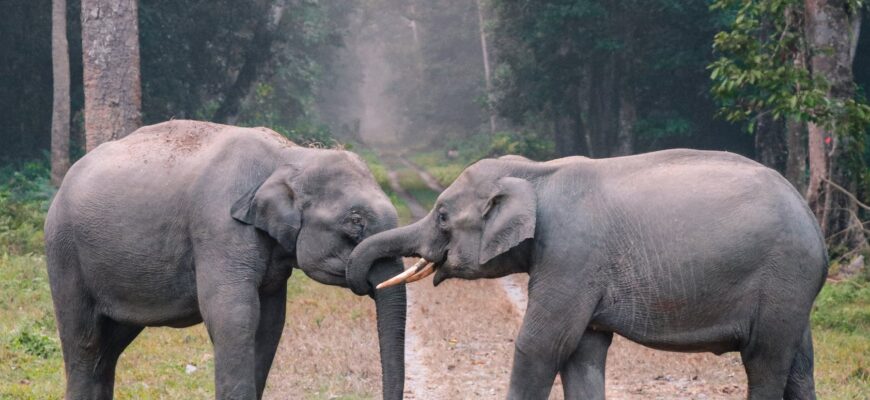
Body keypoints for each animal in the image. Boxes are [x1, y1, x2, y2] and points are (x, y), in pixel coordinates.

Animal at [44, 120, 405, 400]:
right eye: (355, 223)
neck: (290, 155)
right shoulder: (219, 228)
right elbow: (234, 315)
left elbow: (271, 321)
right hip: (65, 252)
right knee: (85, 340)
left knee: (110, 347)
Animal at [348, 149, 828, 400]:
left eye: (443, 216)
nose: (359, 280)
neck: (537, 172)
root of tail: (816, 225)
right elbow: (583, 352)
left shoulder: (571, 257)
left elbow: (541, 345)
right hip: (793, 289)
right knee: (798, 365)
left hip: (784, 275)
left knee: (765, 361)